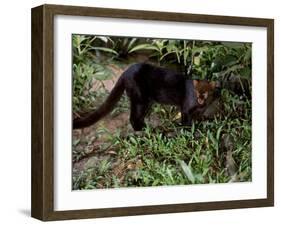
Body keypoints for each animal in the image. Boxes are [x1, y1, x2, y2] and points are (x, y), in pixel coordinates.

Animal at [72, 63, 217, 131]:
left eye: (205, 92)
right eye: (196, 91)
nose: (200, 98)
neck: (200, 105)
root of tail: (126, 72)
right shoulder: (186, 108)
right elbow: (186, 120)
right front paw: (187, 129)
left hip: (146, 101)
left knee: (138, 117)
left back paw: (146, 128)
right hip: (140, 99)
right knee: (133, 117)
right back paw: (143, 130)